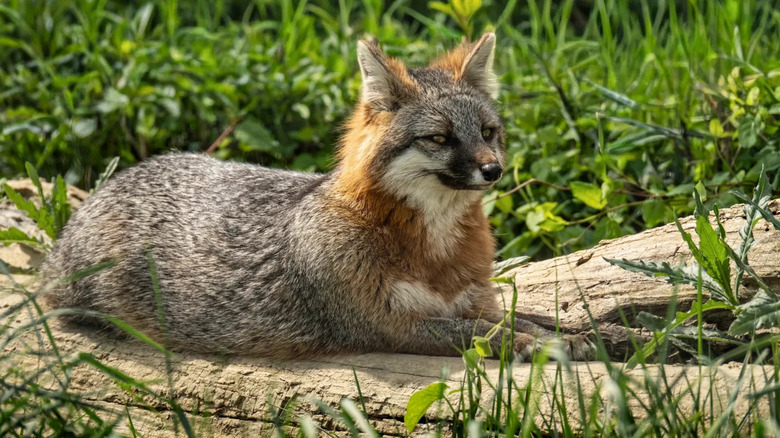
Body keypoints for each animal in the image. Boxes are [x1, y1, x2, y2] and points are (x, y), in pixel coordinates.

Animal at [41, 33, 594, 361]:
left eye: (487, 132)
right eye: (439, 138)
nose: (493, 170)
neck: (433, 250)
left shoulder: (474, 303)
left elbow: (537, 318)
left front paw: (597, 337)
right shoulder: (390, 326)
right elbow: (489, 334)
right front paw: (538, 346)